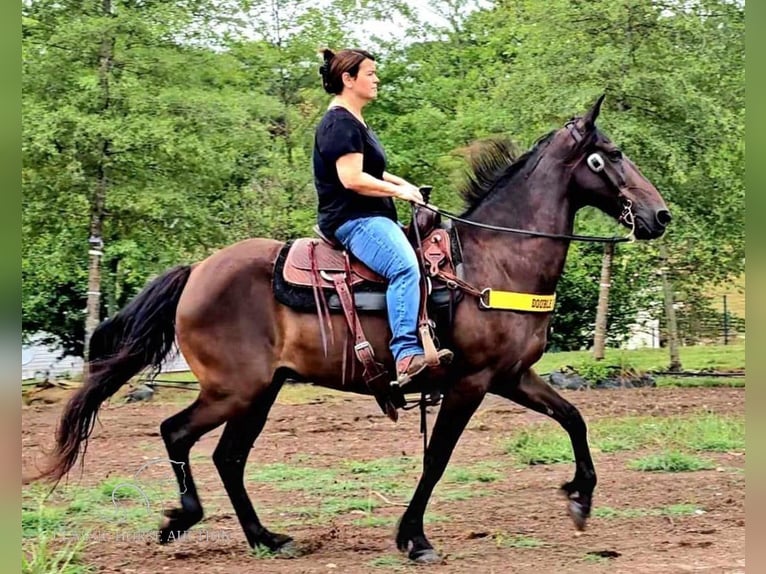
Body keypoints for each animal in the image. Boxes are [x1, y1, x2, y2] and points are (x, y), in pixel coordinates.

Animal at [34, 95, 672, 568]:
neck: (493, 260)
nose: (660, 215)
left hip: (260, 392)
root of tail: (196, 272)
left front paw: (581, 497)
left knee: (227, 457)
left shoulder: (512, 375)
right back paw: (185, 518)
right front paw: (414, 537)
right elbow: (437, 458)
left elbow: (573, 418)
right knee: (176, 434)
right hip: (234, 389)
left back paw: (267, 538)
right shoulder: (471, 381)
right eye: (608, 156)